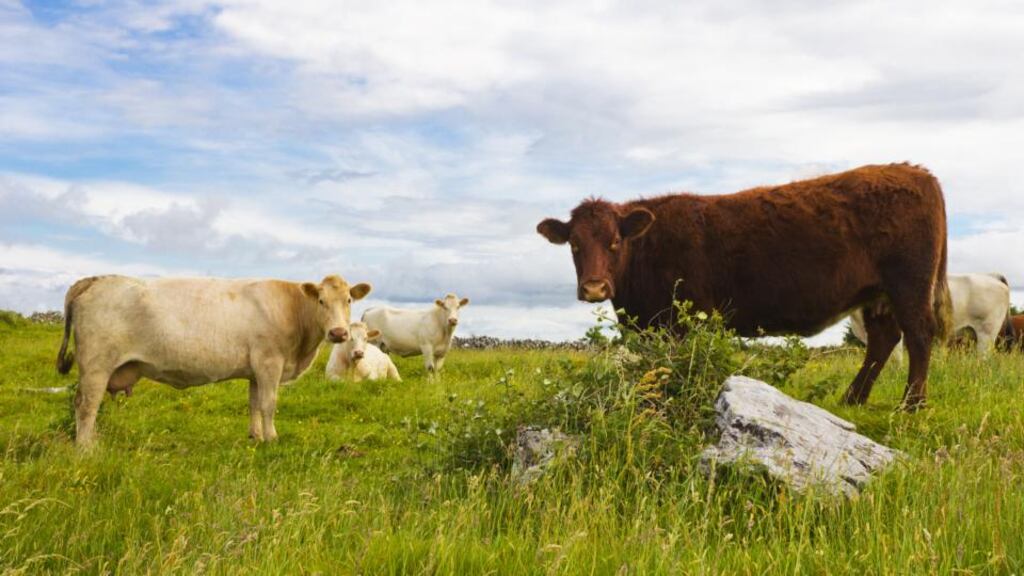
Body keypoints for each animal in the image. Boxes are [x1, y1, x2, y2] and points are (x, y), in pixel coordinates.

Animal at [55, 274, 371, 447]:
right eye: (321, 301)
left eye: (348, 301)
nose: (338, 332)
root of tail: (97, 279)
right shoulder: (269, 362)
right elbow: (269, 404)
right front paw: (272, 437)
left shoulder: (255, 370)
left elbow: (254, 403)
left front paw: (255, 436)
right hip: (96, 366)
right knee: (86, 405)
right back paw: (87, 448)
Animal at [537, 163, 952, 409]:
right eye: (574, 244)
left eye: (614, 242)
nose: (594, 288)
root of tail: (917, 173)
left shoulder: (683, 321)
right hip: (878, 294)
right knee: (884, 340)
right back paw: (852, 399)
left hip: (909, 284)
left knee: (918, 335)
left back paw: (911, 405)